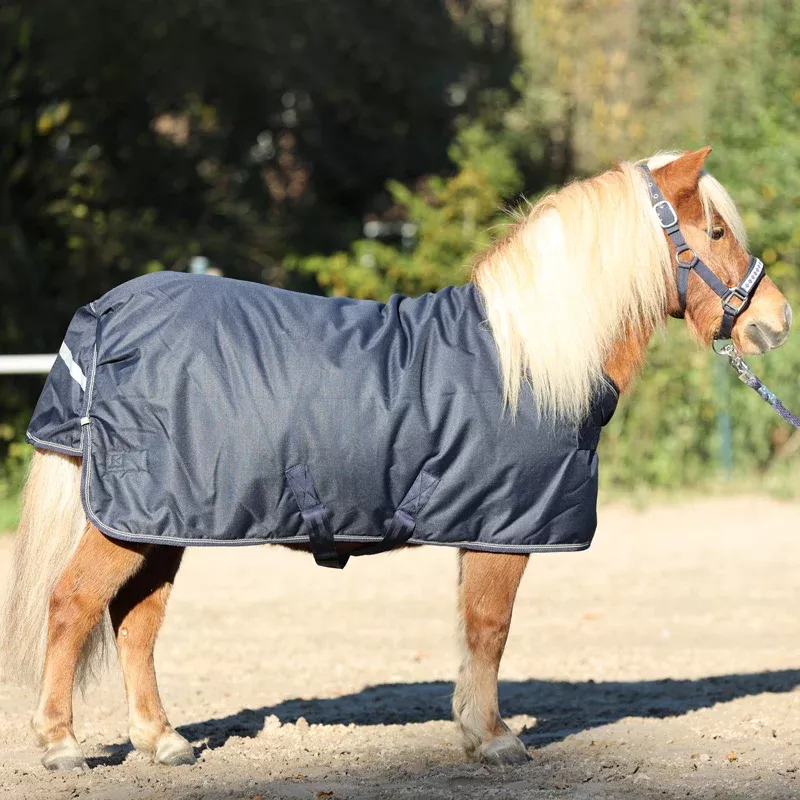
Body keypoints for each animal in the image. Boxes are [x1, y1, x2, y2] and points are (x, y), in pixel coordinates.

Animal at [1, 147, 792, 771]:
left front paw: (474, 730)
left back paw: (163, 741)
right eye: (715, 231)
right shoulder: (502, 529)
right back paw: (61, 744)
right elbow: (490, 628)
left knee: (135, 621)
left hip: (158, 525)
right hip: (128, 522)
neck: (526, 360)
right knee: (73, 605)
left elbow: (475, 630)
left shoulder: (485, 526)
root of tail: (106, 315)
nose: (776, 321)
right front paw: (494, 738)